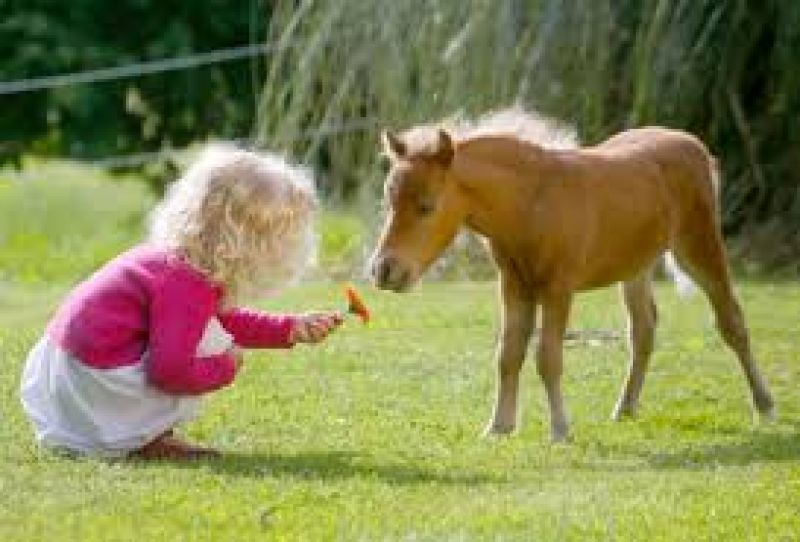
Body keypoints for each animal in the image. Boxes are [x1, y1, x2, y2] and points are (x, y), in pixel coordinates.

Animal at [368, 108, 774, 442]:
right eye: (389, 201)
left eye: (427, 206)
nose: (384, 270)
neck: (531, 204)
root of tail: (694, 145)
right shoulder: (514, 286)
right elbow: (508, 354)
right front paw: (499, 427)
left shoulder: (558, 289)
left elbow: (547, 358)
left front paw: (560, 429)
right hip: (636, 265)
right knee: (643, 330)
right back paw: (625, 407)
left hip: (699, 247)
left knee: (732, 321)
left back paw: (765, 405)